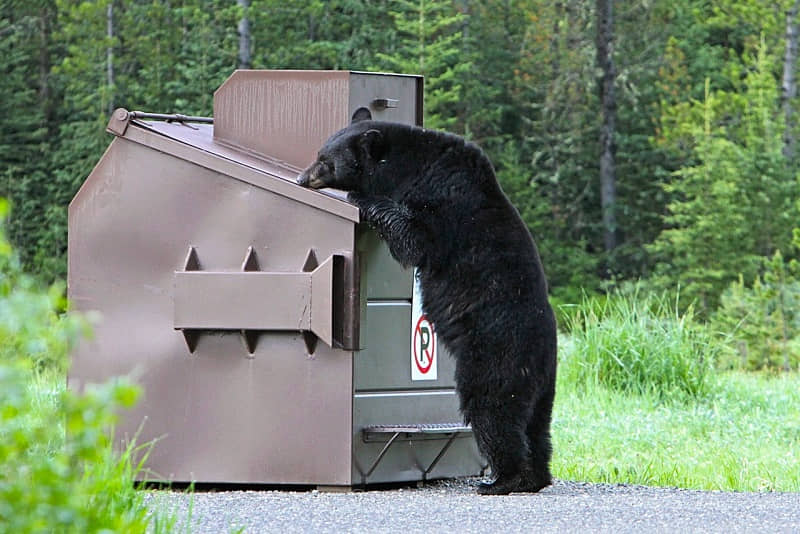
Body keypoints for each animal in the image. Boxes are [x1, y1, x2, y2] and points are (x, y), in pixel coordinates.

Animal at [298, 108, 558, 495]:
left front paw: (363, 198)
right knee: (537, 426)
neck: (413, 166)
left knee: (493, 411)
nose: (302, 178)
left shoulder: (443, 201)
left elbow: (415, 240)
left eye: (326, 160)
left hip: (495, 356)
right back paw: (536, 476)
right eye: (319, 152)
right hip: (542, 385)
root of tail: (541, 355)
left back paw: (502, 479)